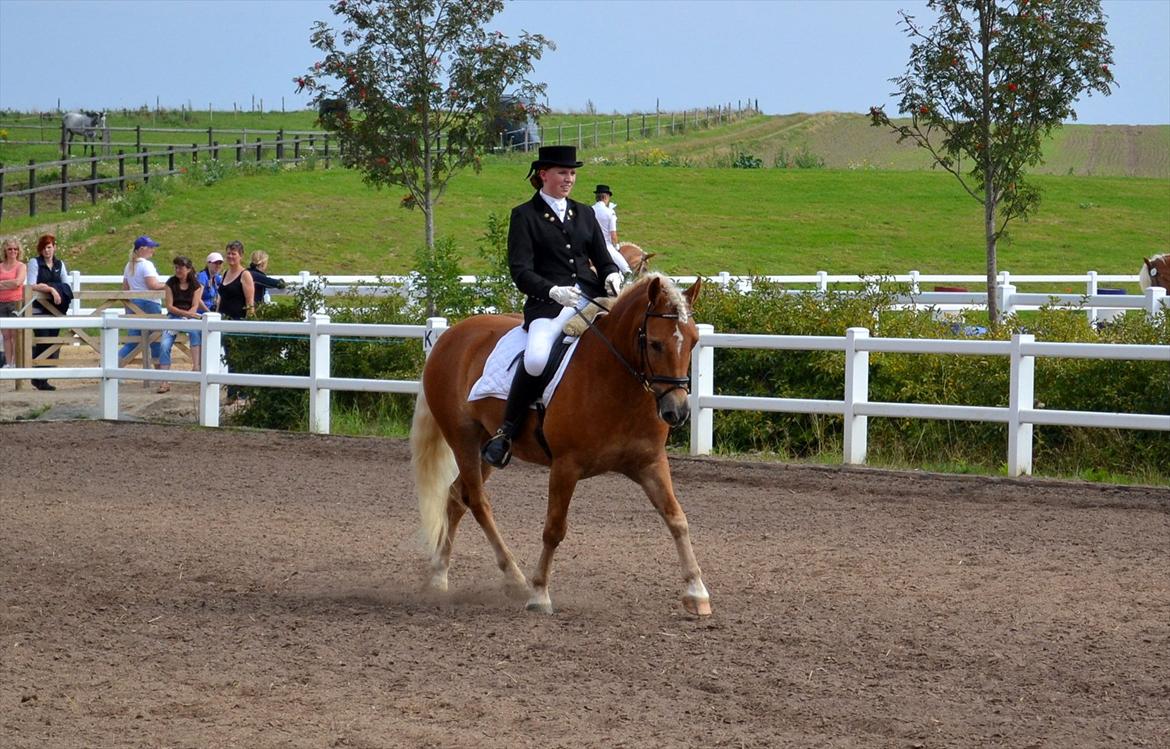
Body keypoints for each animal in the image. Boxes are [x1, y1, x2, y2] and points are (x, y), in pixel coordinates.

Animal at [409, 273, 711, 613]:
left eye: (694, 342)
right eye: (655, 344)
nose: (678, 411)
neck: (615, 380)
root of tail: (450, 336)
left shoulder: (650, 463)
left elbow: (677, 519)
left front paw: (697, 592)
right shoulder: (566, 466)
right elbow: (554, 528)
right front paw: (539, 593)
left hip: (487, 447)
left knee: (455, 498)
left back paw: (439, 576)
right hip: (463, 439)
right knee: (477, 501)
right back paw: (515, 579)